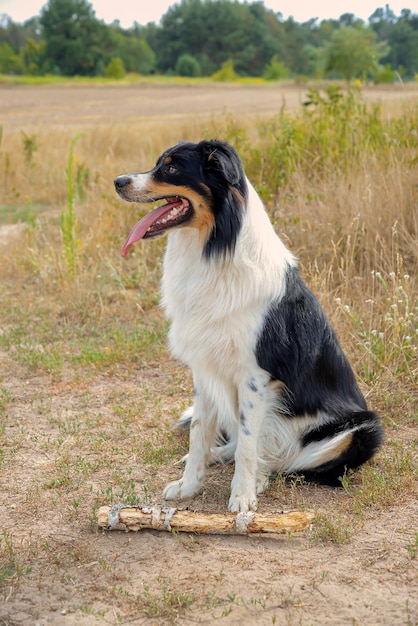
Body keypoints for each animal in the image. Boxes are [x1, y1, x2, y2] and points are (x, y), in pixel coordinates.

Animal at [112, 139, 384, 510]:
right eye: (158, 163)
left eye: (170, 167)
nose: (117, 181)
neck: (214, 246)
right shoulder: (205, 368)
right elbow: (200, 433)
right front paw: (188, 486)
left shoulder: (255, 377)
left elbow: (249, 443)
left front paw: (242, 496)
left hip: (361, 430)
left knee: (289, 460)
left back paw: (261, 476)